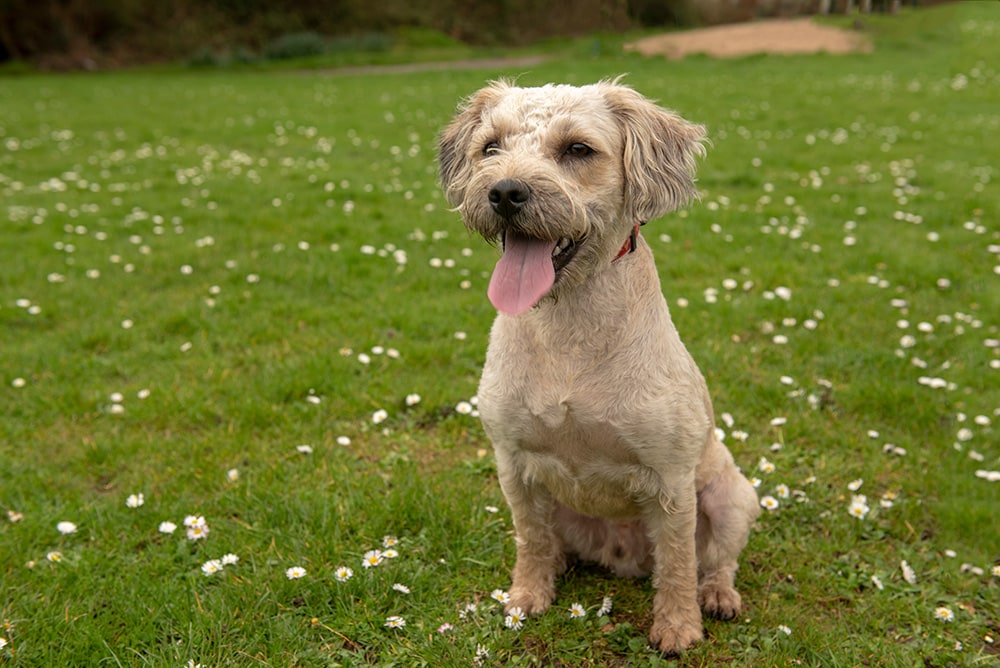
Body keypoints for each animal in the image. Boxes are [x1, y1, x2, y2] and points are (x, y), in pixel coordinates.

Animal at [438, 78, 756, 652]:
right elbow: (530, 540)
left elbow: (679, 562)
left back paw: (718, 596)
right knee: (551, 541)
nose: (505, 193)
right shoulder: (514, 465)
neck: (568, 326)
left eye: (578, 149)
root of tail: (624, 557)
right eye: (490, 147)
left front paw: (678, 628)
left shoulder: (672, 480)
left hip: (733, 498)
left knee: (715, 560)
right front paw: (526, 597)